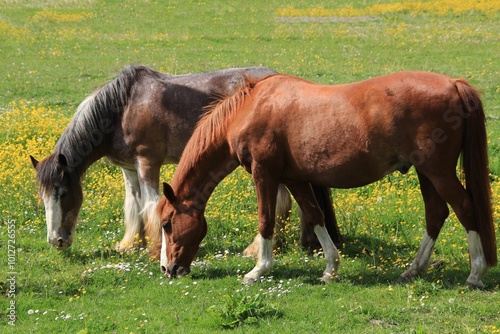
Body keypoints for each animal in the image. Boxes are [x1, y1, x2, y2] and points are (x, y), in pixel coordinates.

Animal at [30, 64, 340, 258]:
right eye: (43, 197)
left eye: (63, 193)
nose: (56, 240)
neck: (121, 109)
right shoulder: (129, 169)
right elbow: (134, 206)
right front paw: (132, 244)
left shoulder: (147, 163)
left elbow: (151, 206)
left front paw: (156, 248)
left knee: (278, 202)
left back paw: (258, 248)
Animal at [156, 70, 496, 288]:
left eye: (167, 224)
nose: (167, 269)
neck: (250, 109)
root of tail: (454, 84)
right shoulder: (294, 178)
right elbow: (315, 215)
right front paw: (331, 268)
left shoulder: (264, 173)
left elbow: (266, 220)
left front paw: (258, 270)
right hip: (426, 173)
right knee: (436, 214)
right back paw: (413, 270)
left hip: (438, 172)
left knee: (465, 208)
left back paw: (475, 274)